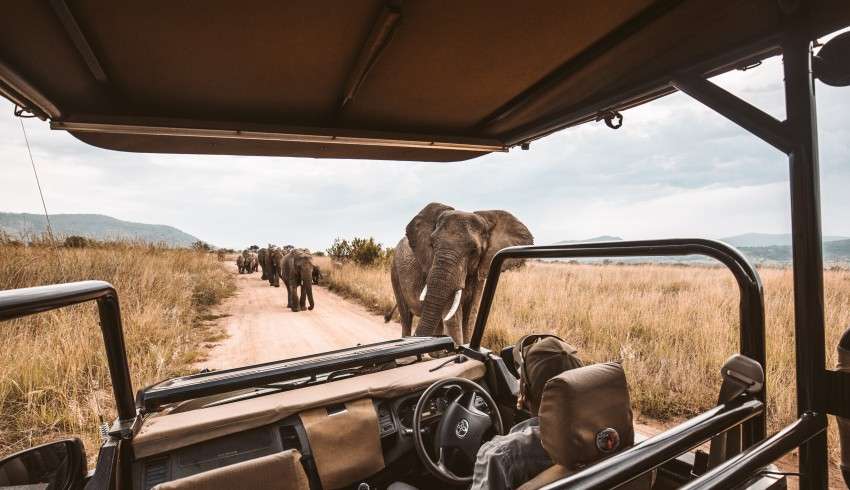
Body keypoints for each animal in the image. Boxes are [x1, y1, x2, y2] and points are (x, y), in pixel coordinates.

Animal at [390, 202, 528, 344]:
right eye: (432, 244)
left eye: (474, 250)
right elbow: (453, 316)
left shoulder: (480, 271)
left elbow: (470, 314)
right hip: (394, 273)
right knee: (406, 317)